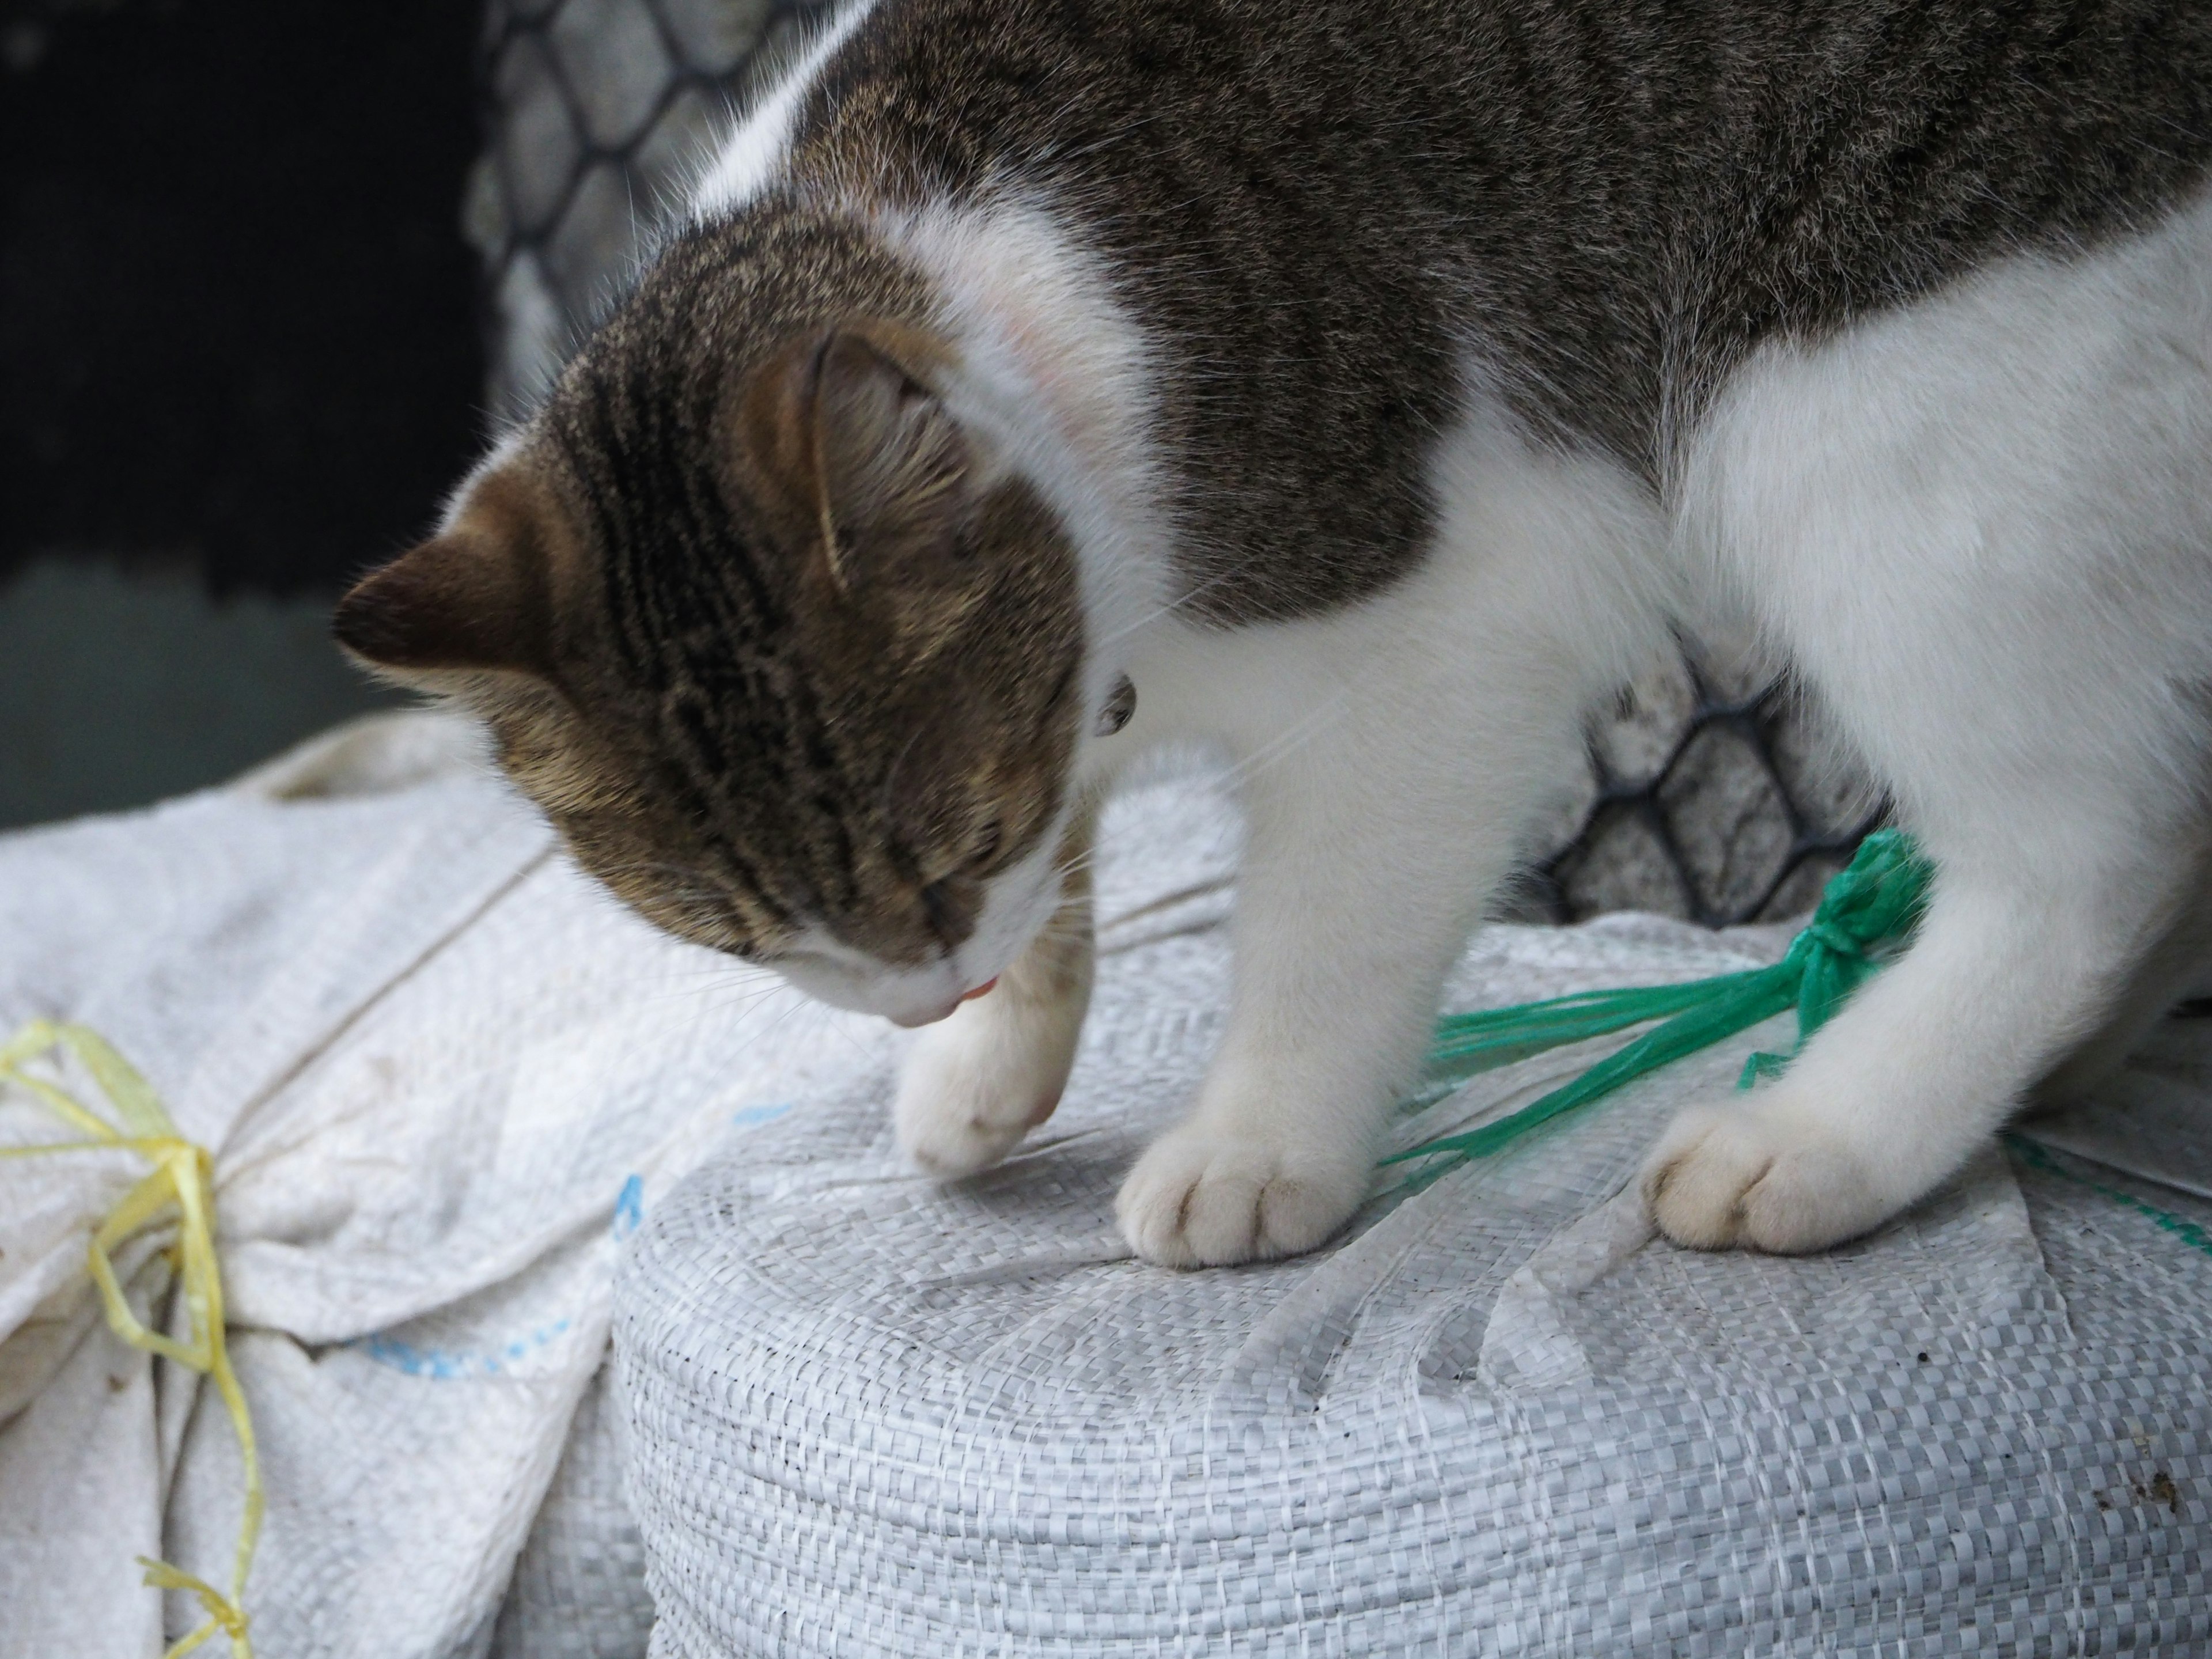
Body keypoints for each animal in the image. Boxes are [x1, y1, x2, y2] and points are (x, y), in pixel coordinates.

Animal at [336, 0, 2212, 1274]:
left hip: (1882, 442)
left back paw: (1826, 1136)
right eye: (740, 939)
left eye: (964, 842)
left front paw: (1253, 1146)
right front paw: (983, 1056)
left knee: (2086, 858)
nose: (929, 986)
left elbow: (1322, 939)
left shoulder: (1448, 634)